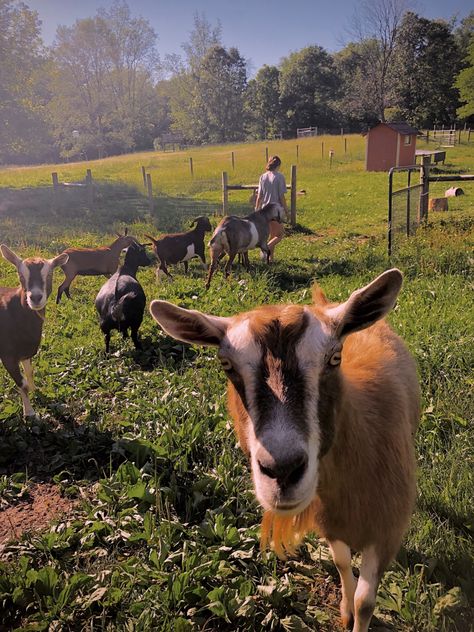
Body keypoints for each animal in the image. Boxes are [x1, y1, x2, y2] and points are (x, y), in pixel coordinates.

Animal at [0, 244, 68, 418]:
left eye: (49, 273)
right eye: (20, 274)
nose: (35, 297)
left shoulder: (26, 351)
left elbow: (30, 372)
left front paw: (35, 390)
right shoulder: (8, 356)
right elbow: (21, 383)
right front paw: (30, 412)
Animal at [150, 270, 420, 632]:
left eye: (335, 357)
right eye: (226, 364)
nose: (281, 469)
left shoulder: (386, 533)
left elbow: (366, 602)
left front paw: (355, 611)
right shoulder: (330, 524)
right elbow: (341, 564)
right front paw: (344, 609)